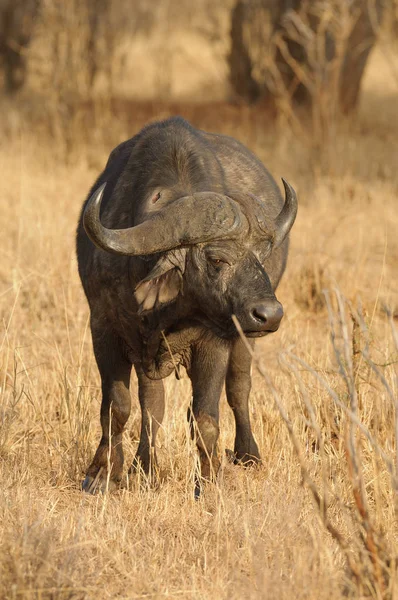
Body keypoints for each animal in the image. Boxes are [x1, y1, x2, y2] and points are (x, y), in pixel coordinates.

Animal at [76, 116, 296, 492]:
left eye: (261, 257)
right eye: (217, 258)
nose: (269, 315)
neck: (167, 313)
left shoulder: (215, 341)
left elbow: (206, 416)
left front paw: (207, 482)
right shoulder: (104, 328)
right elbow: (119, 406)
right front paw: (103, 473)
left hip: (244, 340)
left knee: (239, 388)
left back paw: (247, 454)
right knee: (153, 404)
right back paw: (144, 468)